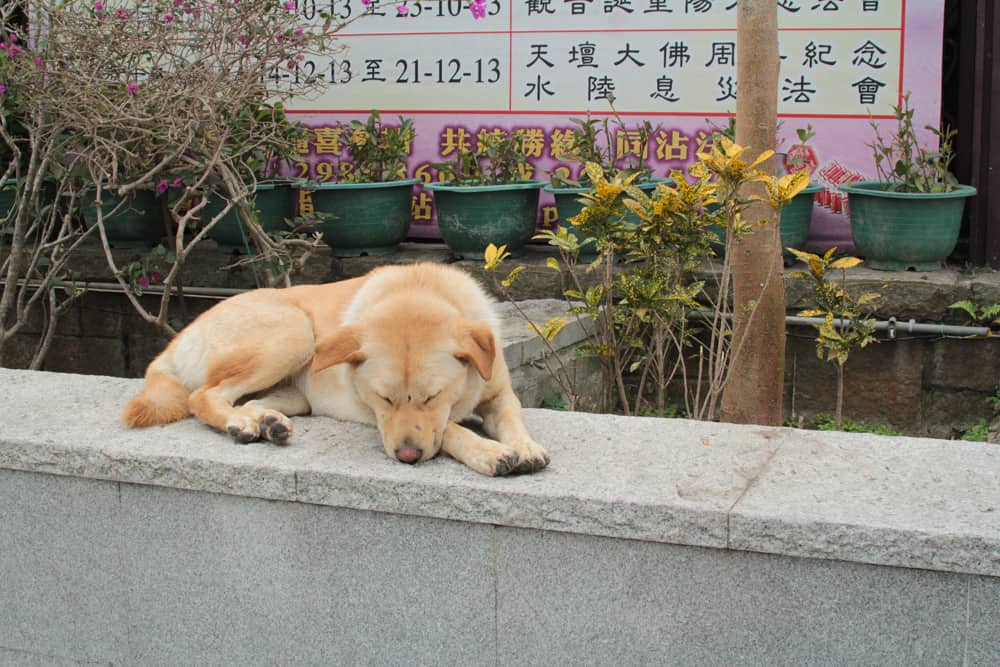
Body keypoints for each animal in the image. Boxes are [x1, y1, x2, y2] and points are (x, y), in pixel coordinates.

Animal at [123, 264, 556, 478]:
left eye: (432, 395)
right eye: (384, 398)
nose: (407, 457)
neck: (419, 287)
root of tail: (179, 337)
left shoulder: (499, 393)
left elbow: (512, 418)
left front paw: (525, 446)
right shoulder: (375, 417)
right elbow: (450, 429)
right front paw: (488, 452)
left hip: (295, 387)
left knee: (244, 400)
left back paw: (266, 423)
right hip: (293, 332)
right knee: (202, 395)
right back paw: (241, 424)